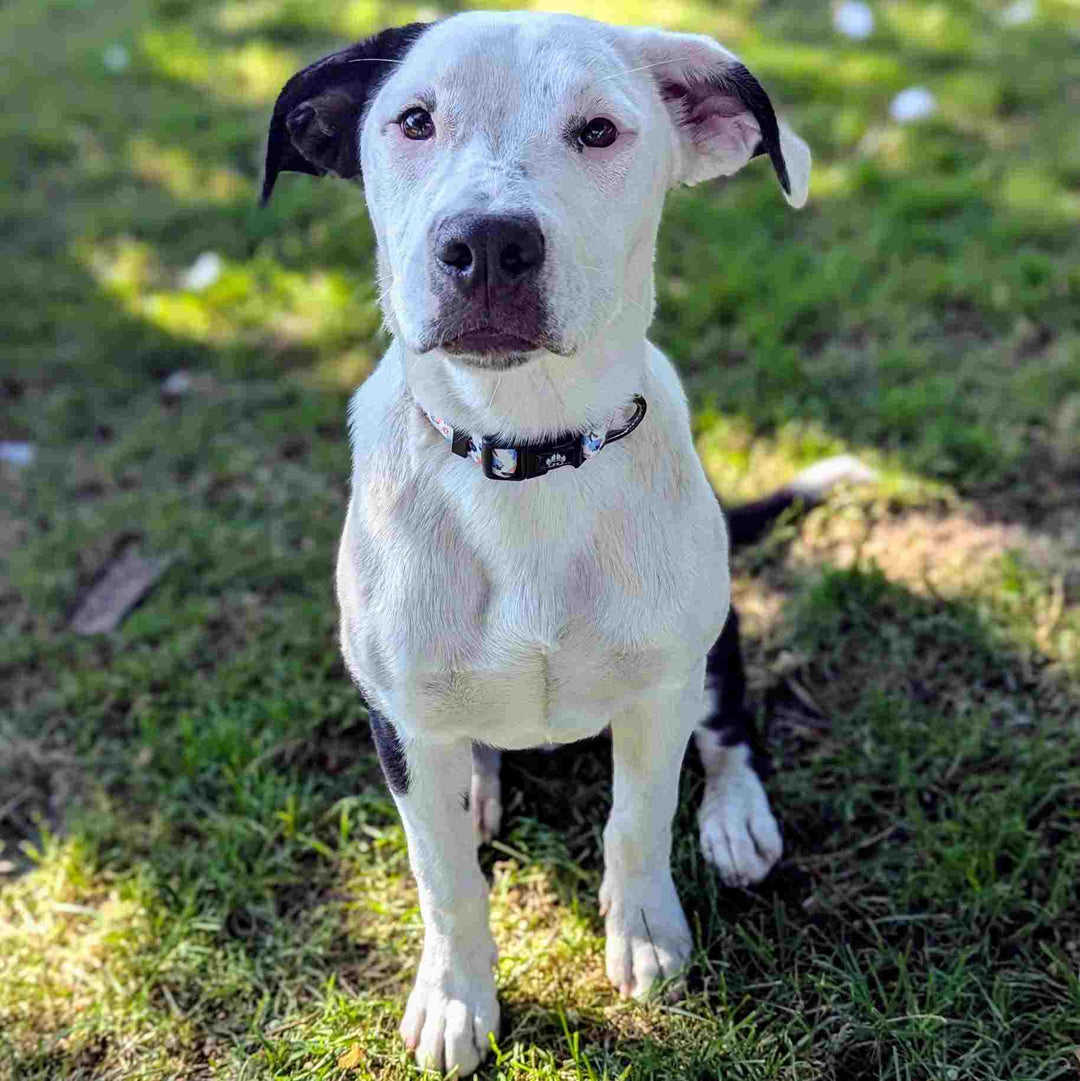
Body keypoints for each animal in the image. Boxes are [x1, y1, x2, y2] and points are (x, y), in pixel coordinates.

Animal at [263, 14, 843, 1072]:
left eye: (598, 131)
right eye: (415, 120)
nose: (489, 243)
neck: (527, 454)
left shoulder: (659, 689)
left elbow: (638, 820)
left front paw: (644, 932)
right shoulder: (398, 719)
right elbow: (443, 876)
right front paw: (455, 998)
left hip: (716, 636)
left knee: (730, 724)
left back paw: (736, 818)